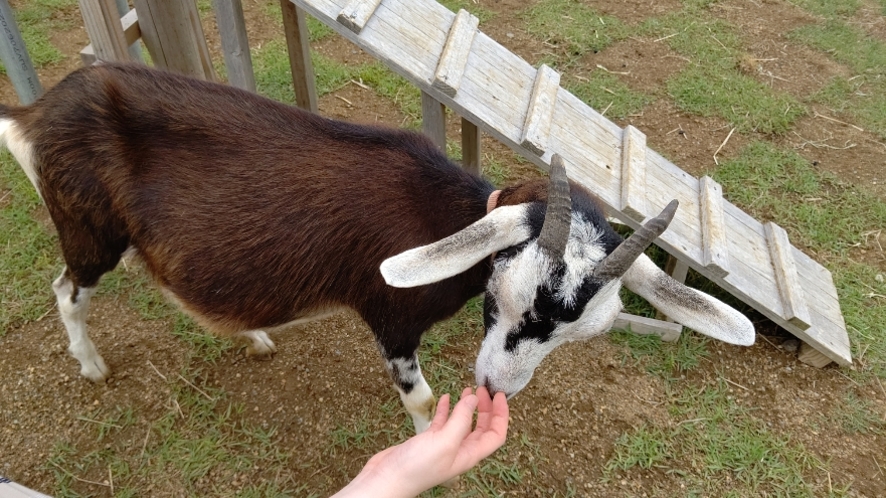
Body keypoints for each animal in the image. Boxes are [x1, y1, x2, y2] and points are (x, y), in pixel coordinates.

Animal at [1, 64, 756, 432]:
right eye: (500, 295)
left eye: (581, 336)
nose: (494, 389)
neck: (446, 218)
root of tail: (37, 113)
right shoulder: (391, 319)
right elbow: (420, 403)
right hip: (87, 229)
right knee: (67, 290)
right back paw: (91, 365)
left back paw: (253, 337)